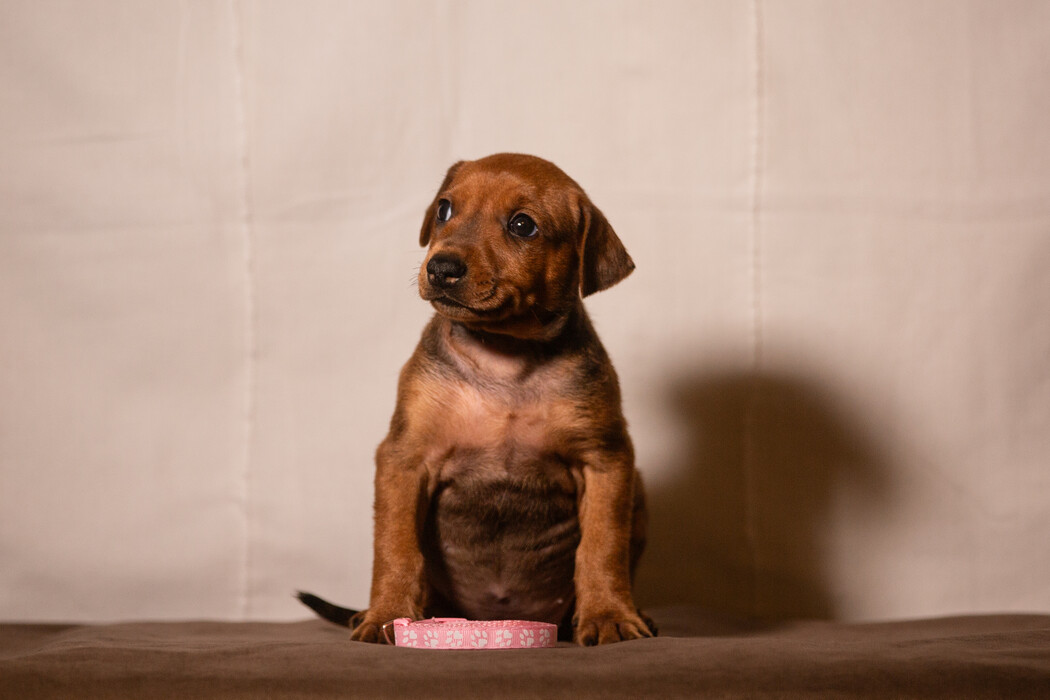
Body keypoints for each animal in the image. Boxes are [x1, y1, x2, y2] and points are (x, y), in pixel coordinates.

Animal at [299, 153, 654, 646]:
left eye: (523, 225)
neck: (503, 358)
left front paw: (608, 615)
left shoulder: (606, 461)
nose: (441, 268)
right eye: (444, 209)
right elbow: (395, 546)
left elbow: (603, 546)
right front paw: (386, 614)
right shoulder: (404, 458)